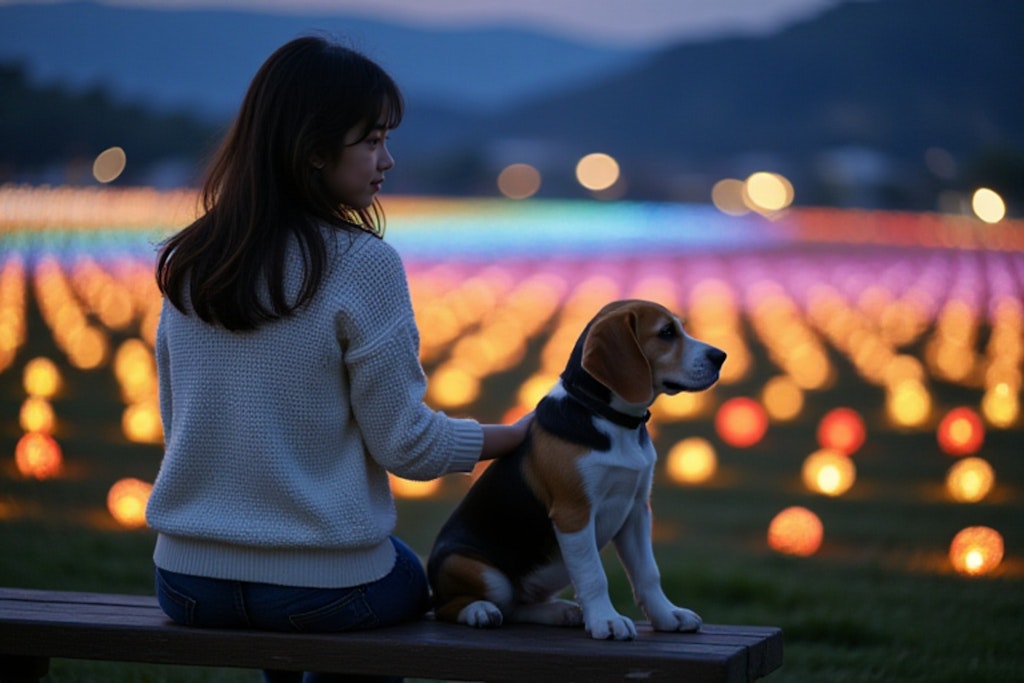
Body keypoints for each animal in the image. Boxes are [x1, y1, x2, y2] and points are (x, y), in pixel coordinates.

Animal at [428, 299, 724, 643]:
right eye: (666, 332)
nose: (721, 356)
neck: (609, 418)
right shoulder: (574, 513)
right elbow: (594, 574)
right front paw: (607, 621)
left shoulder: (636, 509)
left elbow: (648, 573)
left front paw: (667, 615)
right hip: (478, 570)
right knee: (457, 607)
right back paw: (478, 610)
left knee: (515, 606)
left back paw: (559, 612)